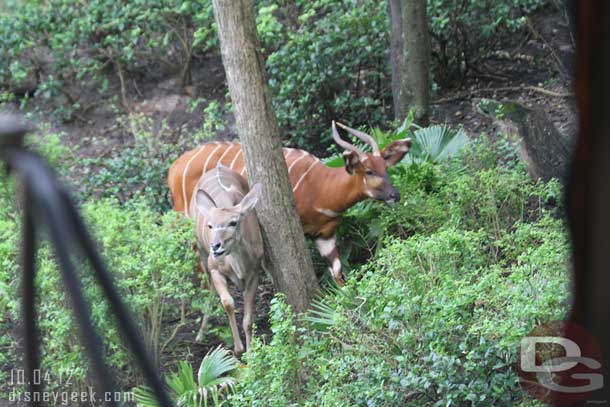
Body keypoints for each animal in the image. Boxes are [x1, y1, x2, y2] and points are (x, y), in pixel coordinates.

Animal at [169, 122, 410, 286]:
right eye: (369, 171)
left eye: (385, 168)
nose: (395, 195)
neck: (320, 188)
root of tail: (173, 168)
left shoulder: (325, 235)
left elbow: (337, 271)